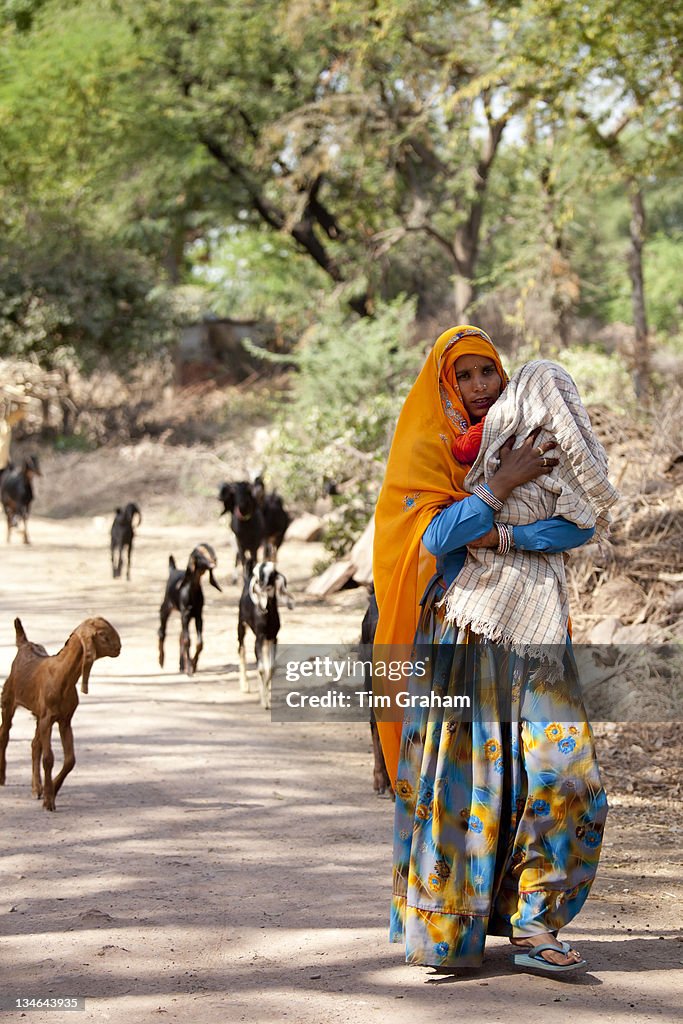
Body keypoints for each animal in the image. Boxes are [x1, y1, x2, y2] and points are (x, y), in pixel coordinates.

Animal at [157, 540, 222, 675]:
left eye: (210, 550)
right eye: (199, 555)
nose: (214, 561)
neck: (191, 591)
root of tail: (173, 570)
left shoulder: (198, 615)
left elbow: (199, 643)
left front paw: (193, 664)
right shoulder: (185, 614)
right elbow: (188, 640)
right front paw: (190, 669)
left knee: (180, 636)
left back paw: (182, 665)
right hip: (167, 607)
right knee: (162, 632)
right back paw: (161, 660)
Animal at [237, 561, 294, 712]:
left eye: (272, 573)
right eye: (257, 574)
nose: (261, 584)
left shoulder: (273, 638)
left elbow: (271, 667)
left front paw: (265, 696)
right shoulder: (259, 638)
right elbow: (262, 668)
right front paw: (264, 701)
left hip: (266, 641)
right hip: (241, 625)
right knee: (241, 649)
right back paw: (245, 686)